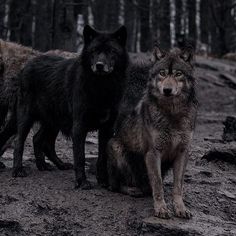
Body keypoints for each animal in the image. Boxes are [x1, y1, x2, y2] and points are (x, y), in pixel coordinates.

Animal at [10, 24, 129, 189]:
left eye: (111, 51)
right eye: (94, 51)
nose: (99, 65)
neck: (101, 88)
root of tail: (27, 64)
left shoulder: (107, 128)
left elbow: (102, 157)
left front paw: (103, 181)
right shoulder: (79, 127)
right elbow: (80, 156)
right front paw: (82, 182)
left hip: (53, 122)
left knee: (38, 140)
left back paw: (48, 165)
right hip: (27, 118)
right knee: (19, 142)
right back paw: (18, 170)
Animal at [108, 45, 198, 219]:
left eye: (178, 74)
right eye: (162, 73)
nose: (167, 90)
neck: (172, 114)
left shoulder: (183, 153)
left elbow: (178, 186)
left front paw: (180, 208)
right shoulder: (153, 153)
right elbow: (157, 184)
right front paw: (161, 208)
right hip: (114, 146)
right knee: (116, 185)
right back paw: (132, 189)